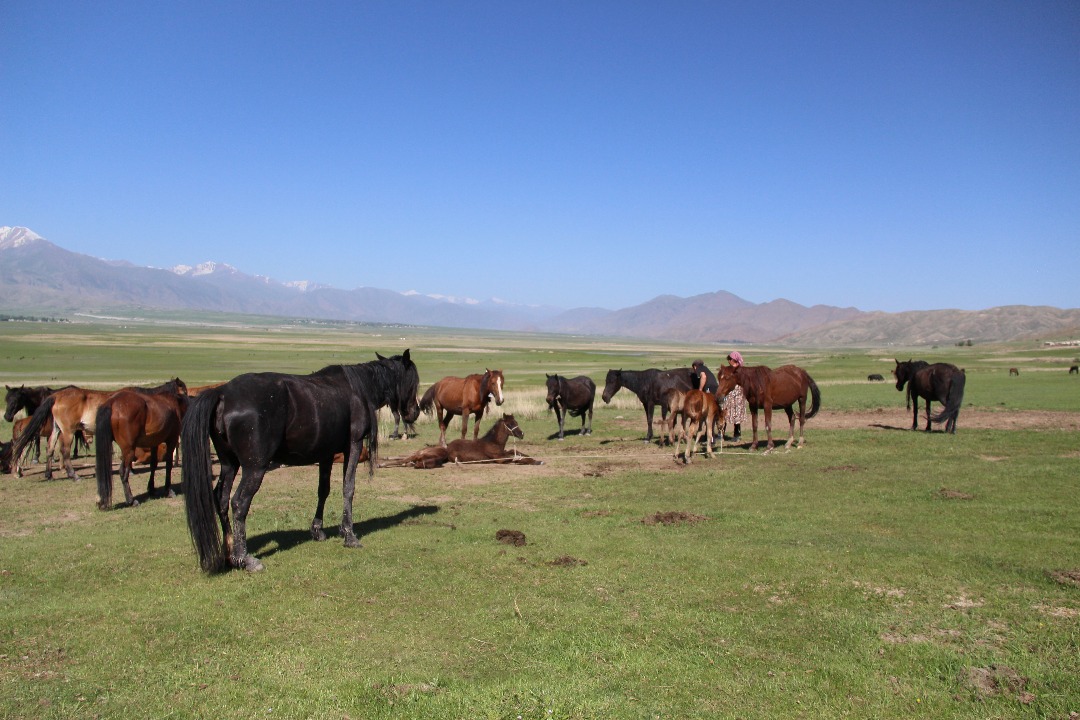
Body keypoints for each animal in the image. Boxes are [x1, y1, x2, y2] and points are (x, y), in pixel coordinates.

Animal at [93, 379, 189, 509]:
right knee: (123, 471)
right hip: (128, 450)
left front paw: (151, 488)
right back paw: (131, 500)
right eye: (184, 390)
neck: (171, 402)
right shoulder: (171, 440)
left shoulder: (154, 443)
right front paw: (168, 490)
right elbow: (168, 464)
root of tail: (112, 402)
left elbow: (153, 464)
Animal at [181, 349, 416, 574]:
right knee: (239, 502)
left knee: (220, 499)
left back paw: (229, 554)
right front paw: (349, 535)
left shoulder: (327, 453)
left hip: (229, 464)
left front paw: (318, 530)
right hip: (254, 468)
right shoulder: (354, 445)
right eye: (413, 381)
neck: (359, 390)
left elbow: (323, 490)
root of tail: (223, 393)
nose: (413, 413)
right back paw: (245, 559)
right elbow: (348, 488)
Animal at [382, 414, 544, 470]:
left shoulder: (504, 452)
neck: (493, 442)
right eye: (510, 424)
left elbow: (515, 452)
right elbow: (515, 458)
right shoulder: (499, 459)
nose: (521, 434)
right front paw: (536, 461)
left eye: (516, 422)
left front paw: (535, 459)